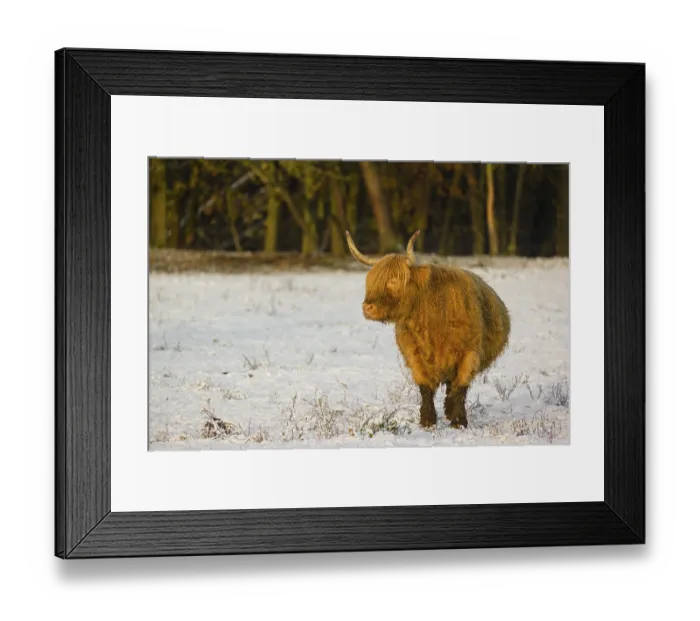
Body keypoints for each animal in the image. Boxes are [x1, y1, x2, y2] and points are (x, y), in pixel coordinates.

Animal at [346, 229, 511, 429]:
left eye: (394, 280)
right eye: (371, 281)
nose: (367, 307)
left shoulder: (469, 354)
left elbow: (460, 387)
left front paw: (459, 422)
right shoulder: (414, 354)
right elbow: (425, 388)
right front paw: (427, 421)